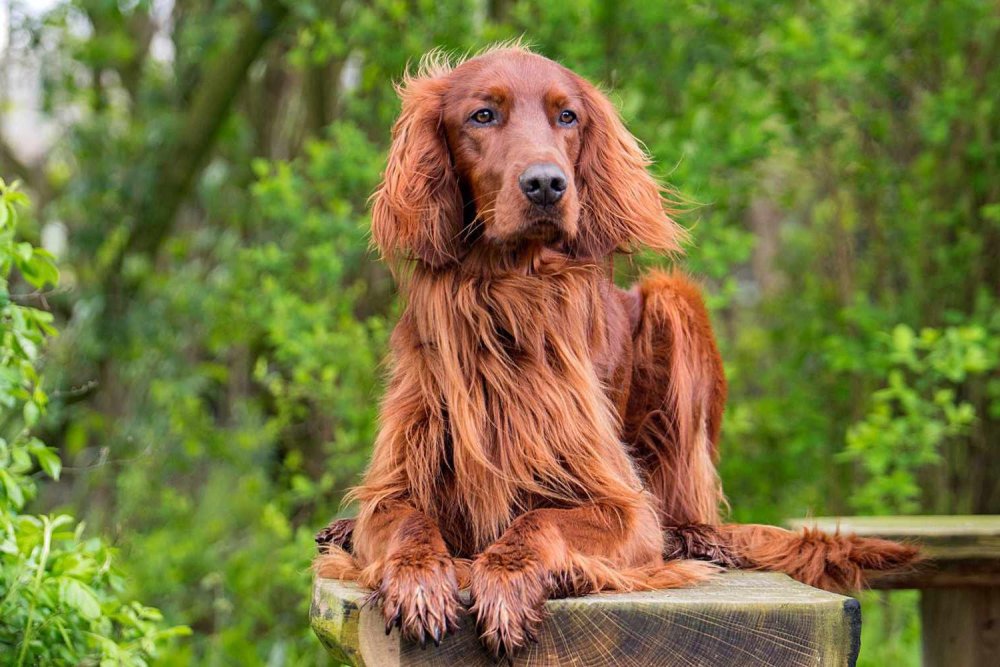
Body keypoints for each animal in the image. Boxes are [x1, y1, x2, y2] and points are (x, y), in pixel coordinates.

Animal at [316, 45, 916, 656]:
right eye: (483, 115)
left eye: (567, 117)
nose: (546, 184)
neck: (508, 294)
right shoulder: (399, 482)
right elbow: (407, 522)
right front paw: (417, 578)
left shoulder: (622, 505)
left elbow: (541, 522)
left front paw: (506, 580)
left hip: (674, 302)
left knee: (685, 509)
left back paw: (696, 540)